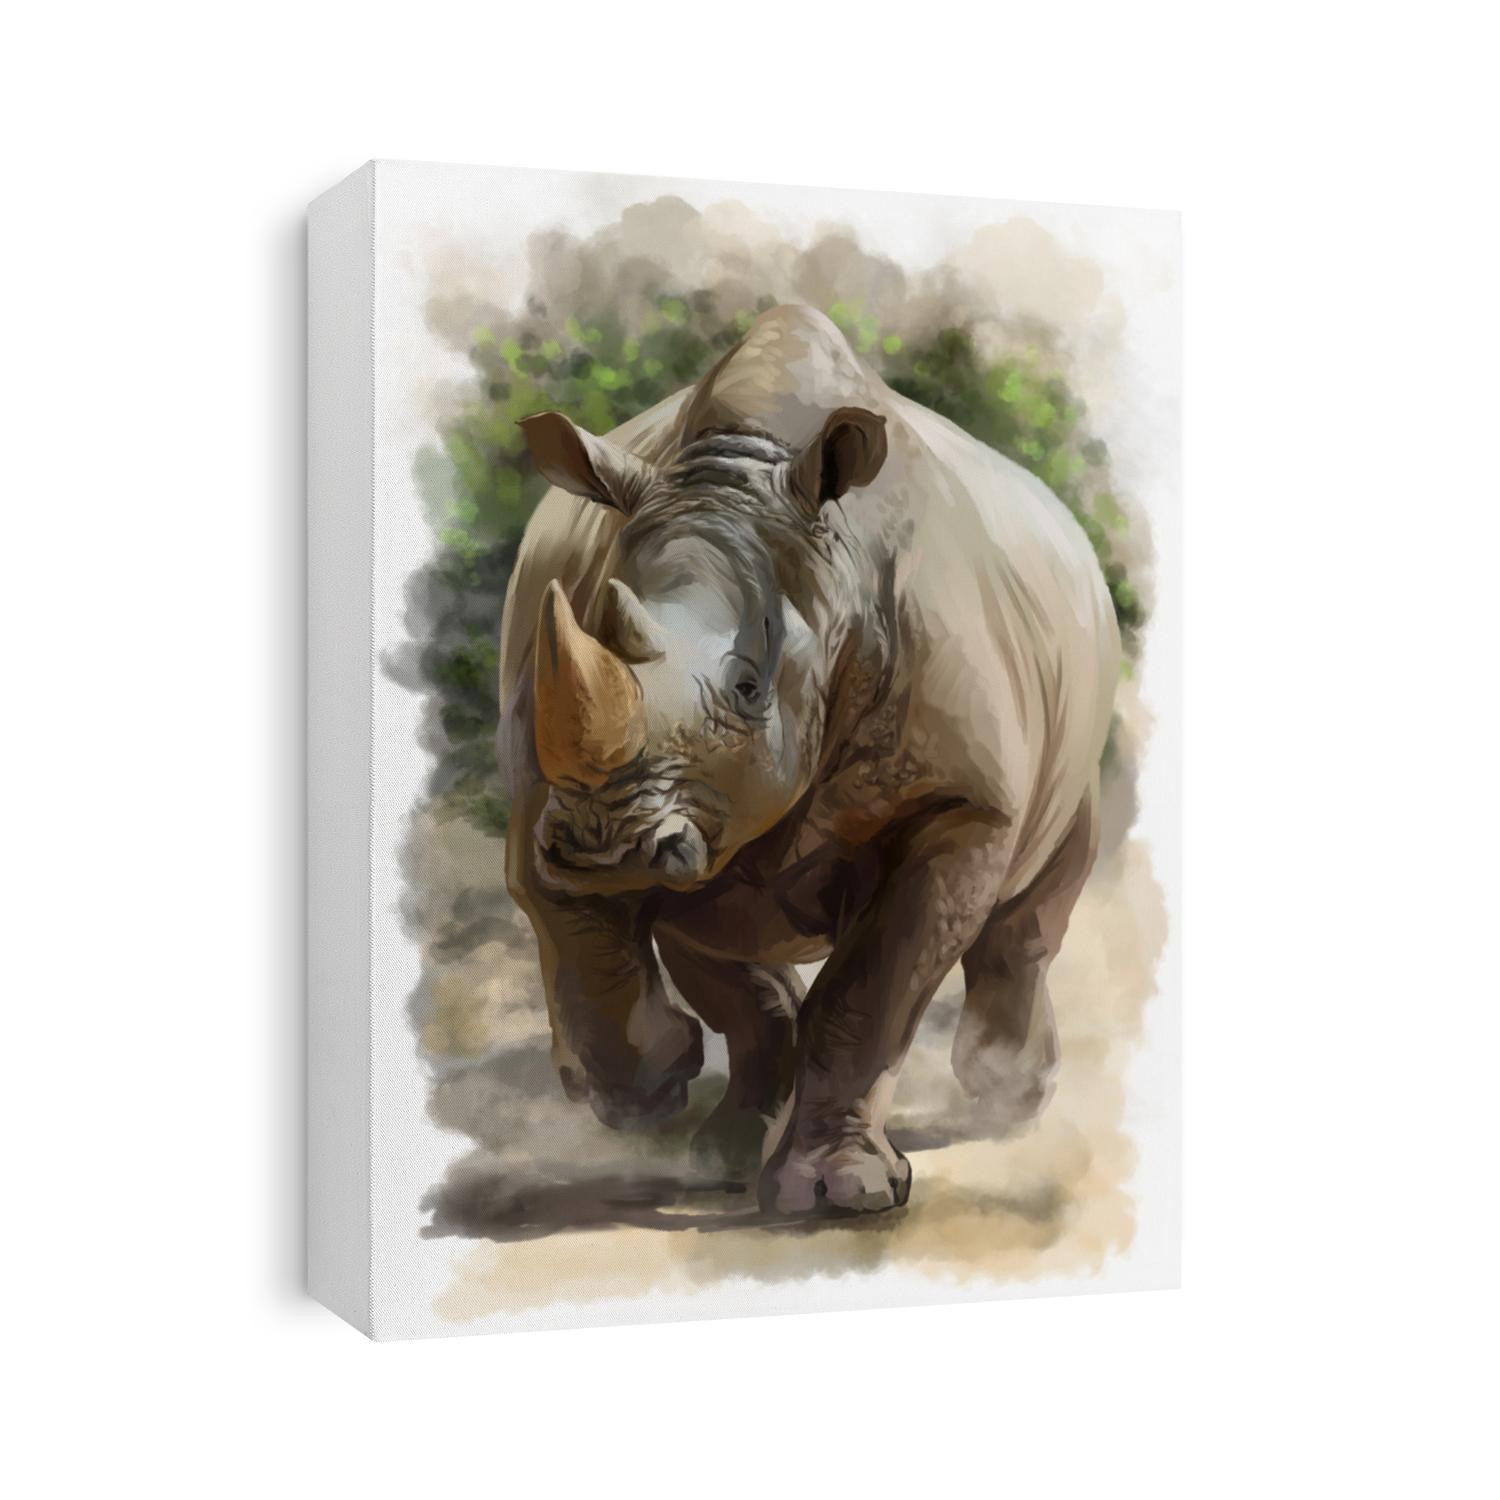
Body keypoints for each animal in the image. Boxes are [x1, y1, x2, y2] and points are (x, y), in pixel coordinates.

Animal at [496, 303, 1120, 1214]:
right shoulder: (554, 780)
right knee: (723, 944)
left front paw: (842, 1195)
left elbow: (870, 991)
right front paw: (645, 1087)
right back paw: (720, 1155)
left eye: (749, 687)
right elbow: (565, 912)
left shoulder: (959, 802)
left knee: (1044, 884)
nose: (605, 847)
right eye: (594, 624)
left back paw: (1004, 1094)